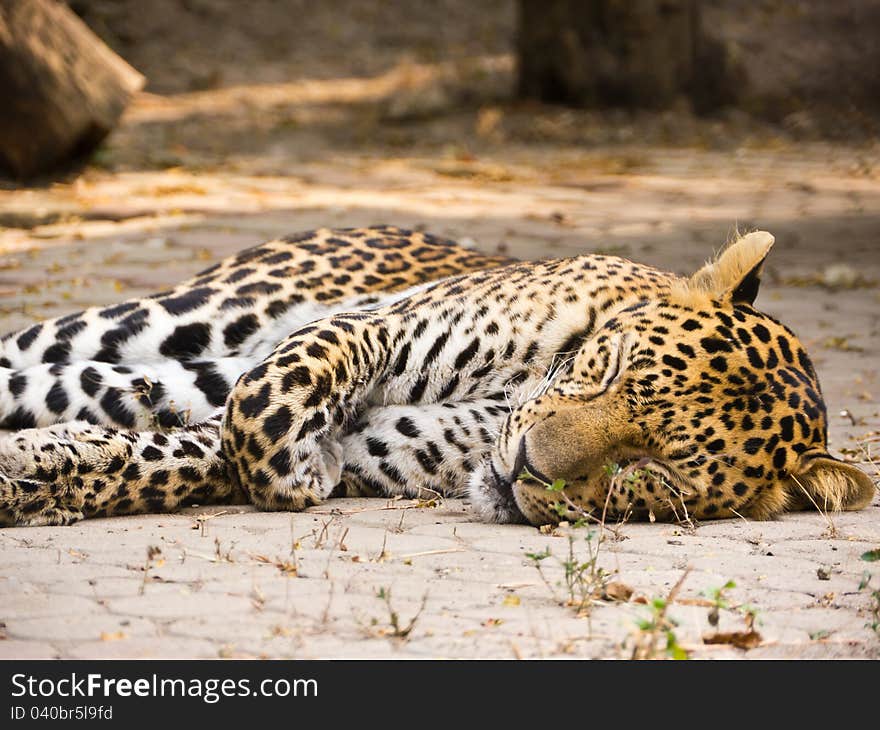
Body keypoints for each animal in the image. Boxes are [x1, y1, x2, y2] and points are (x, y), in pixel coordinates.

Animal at [0, 225, 868, 528]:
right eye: (608, 370)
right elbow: (269, 402)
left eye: (653, 474)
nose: (525, 469)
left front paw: (35, 480)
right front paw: (291, 462)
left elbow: (175, 458)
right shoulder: (381, 326)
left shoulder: (372, 455)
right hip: (188, 315)